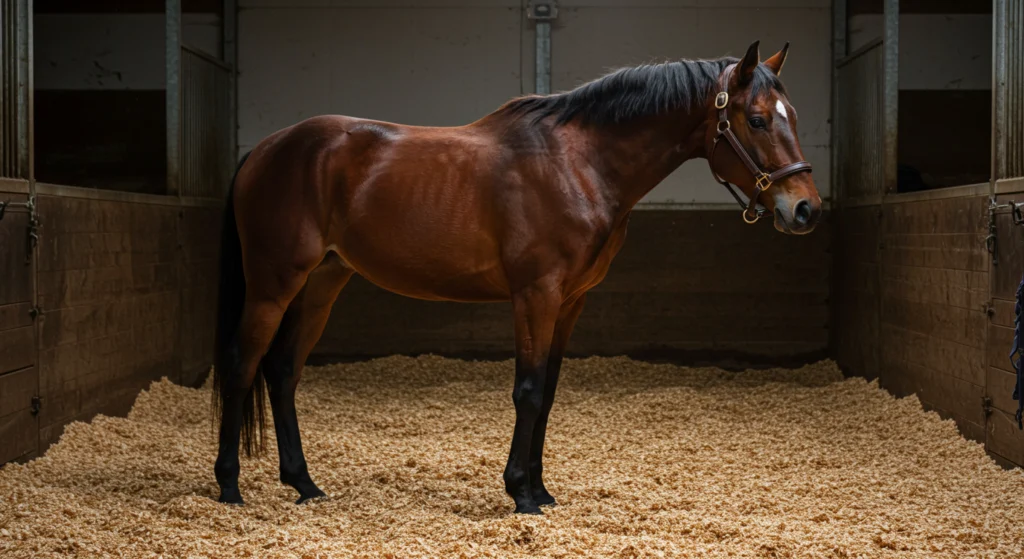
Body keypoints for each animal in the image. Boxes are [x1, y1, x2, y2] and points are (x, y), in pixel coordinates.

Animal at [212, 40, 821, 515]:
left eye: (794, 115)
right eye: (757, 119)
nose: (805, 209)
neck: (579, 163)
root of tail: (265, 148)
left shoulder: (570, 302)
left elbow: (547, 393)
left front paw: (541, 490)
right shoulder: (536, 295)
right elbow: (527, 391)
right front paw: (521, 495)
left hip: (322, 283)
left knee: (282, 371)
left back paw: (304, 484)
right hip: (273, 283)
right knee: (243, 364)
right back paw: (229, 486)